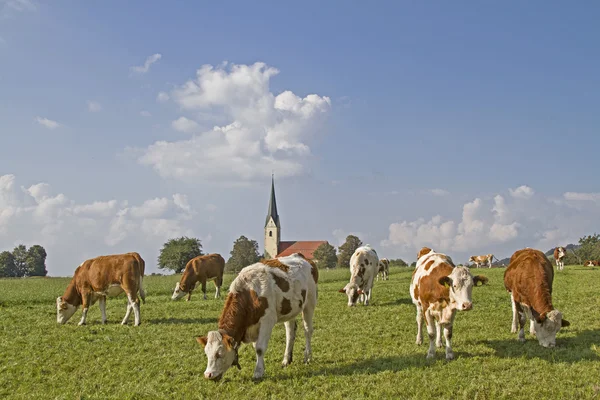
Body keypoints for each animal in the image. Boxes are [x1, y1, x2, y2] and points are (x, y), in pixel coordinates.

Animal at [196, 253, 318, 382]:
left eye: (219, 354)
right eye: (206, 353)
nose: (208, 375)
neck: (250, 293)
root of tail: (300, 256)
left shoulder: (267, 321)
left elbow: (259, 348)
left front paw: (258, 372)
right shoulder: (253, 326)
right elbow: (256, 347)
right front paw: (262, 368)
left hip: (310, 302)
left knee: (307, 330)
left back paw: (307, 357)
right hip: (290, 310)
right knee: (290, 333)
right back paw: (286, 360)